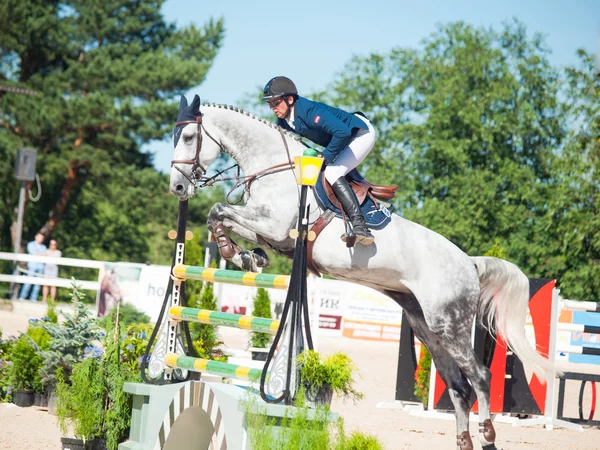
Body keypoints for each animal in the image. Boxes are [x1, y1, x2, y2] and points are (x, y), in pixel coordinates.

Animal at [169, 95, 552, 450]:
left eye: (188, 136)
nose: (178, 188)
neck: (274, 168)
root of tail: (468, 262)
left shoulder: (276, 227)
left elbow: (219, 209)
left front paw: (238, 253)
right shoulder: (271, 232)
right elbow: (221, 217)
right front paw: (245, 255)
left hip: (450, 323)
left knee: (480, 376)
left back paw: (487, 434)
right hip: (427, 328)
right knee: (459, 386)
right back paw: (464, 440)